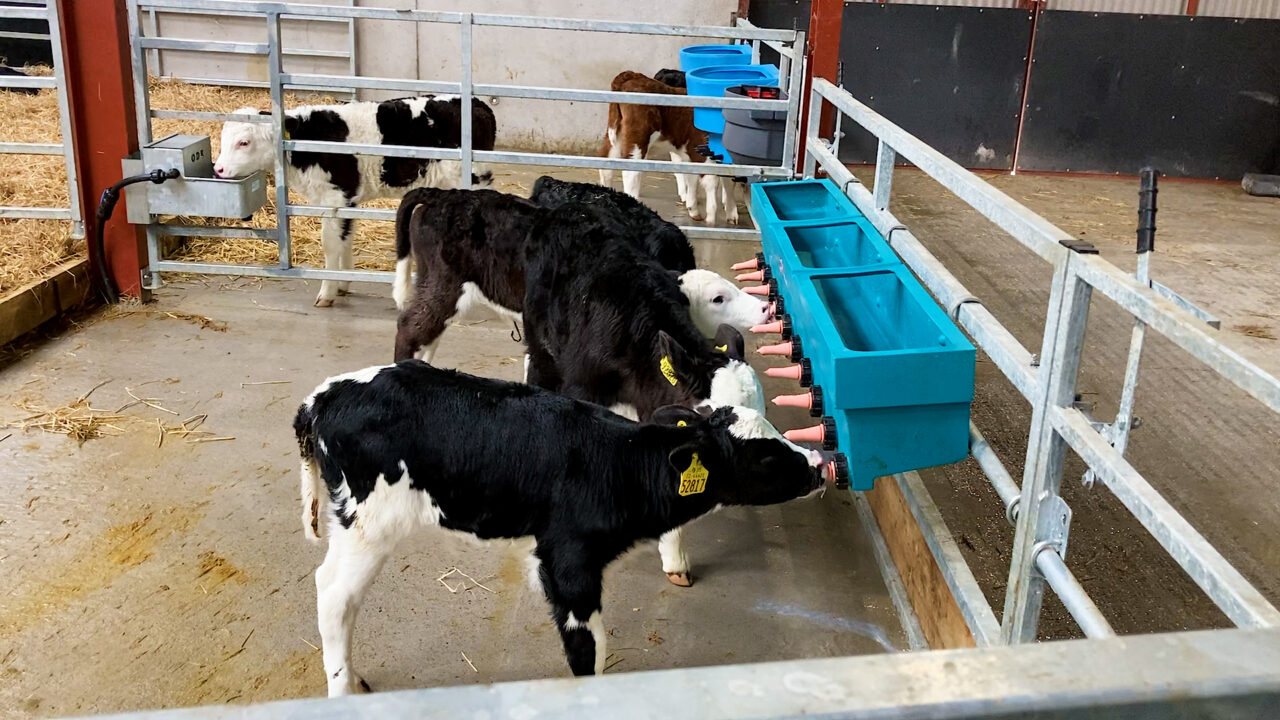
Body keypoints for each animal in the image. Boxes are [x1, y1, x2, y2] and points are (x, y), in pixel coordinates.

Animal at [213, 95, 496, 307]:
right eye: (224, 140)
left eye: (244, 142)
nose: (219, 169)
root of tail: (476, 104)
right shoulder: (348, 200)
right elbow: (345, 240)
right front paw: (343, 283)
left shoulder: (334, 198)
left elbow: (330, 245)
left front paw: (327, 292)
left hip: (474, 180)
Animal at [295, 359, 832, 694]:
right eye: (765, 457)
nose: (820, 465)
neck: (621, 462)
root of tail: (322, 396)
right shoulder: (569, 563)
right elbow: (588, 649)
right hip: (370, 523)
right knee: (335, 594)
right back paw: (344, 688)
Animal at [391, 185, 770, 365]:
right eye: (718, 298)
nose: (765, 309)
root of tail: (443, 195)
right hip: (444, 285)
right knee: (410, 327)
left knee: (427, 333)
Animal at [599, 71, 737, 226]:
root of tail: (632, 75)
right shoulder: (700, 149)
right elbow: (712, 181)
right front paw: (711, 218)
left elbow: (712, 179)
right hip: (637, 139)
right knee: (630, 173)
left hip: (617, 135)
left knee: (606, 165)